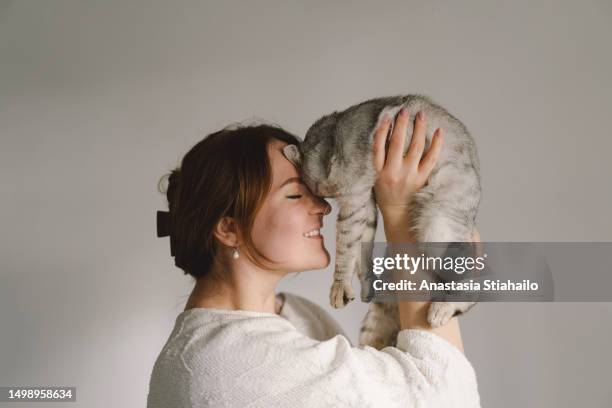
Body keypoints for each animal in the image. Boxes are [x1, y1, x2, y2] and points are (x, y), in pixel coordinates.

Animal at [284, 95, 482, 348]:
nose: (324, 207)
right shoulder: (366, 202)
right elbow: (362, 248)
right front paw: (366, 284)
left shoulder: (354, 199)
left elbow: (346, 247)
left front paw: (339, 286)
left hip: (436, 227)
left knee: (473, 283)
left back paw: (444, 307)